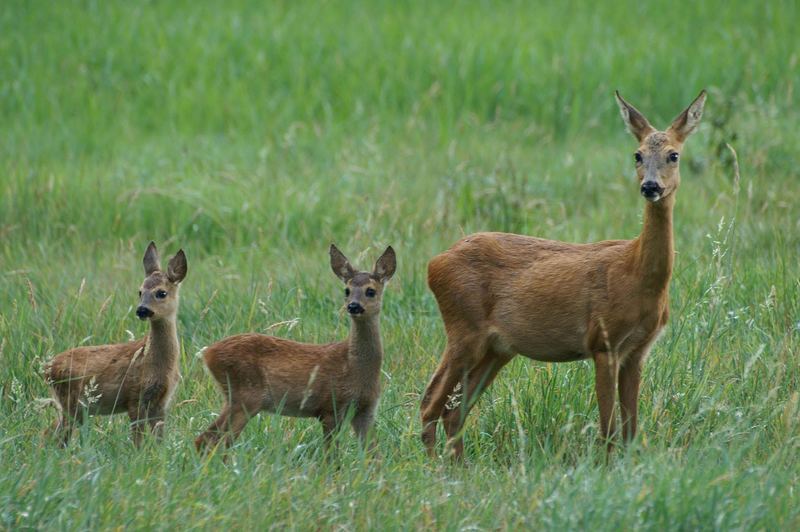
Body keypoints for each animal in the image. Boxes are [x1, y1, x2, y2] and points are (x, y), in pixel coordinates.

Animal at [46, 243, 189, 446]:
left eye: (162, 293)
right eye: (140, 291)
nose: (142, 310)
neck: (155, 364)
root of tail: (46, 368)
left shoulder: (161, 403)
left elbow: (159, 440)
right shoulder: (135, 397)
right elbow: (138, 440)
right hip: (71, 402)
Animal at [194, 245, 394, 454]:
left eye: (370, 291)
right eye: (346, 290)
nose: (353, 306)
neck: (354, 367)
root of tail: (207, 353)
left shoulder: (366, 411)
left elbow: (373, 454)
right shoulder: (330, 407)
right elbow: (331, 455)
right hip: (245, 396)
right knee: (211, 439)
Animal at [418, 90, 708, 458]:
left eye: (674, 154)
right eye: (637, 154)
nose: (650, 187)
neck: (637, 275)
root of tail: (433, 263)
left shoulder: (637, 351)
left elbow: (631, 428)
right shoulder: (603, 341)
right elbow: (609, 429)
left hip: (497, 348)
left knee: (454, 410)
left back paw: (459, 465)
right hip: (463, 329)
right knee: (430, 403)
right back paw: (436, 467)